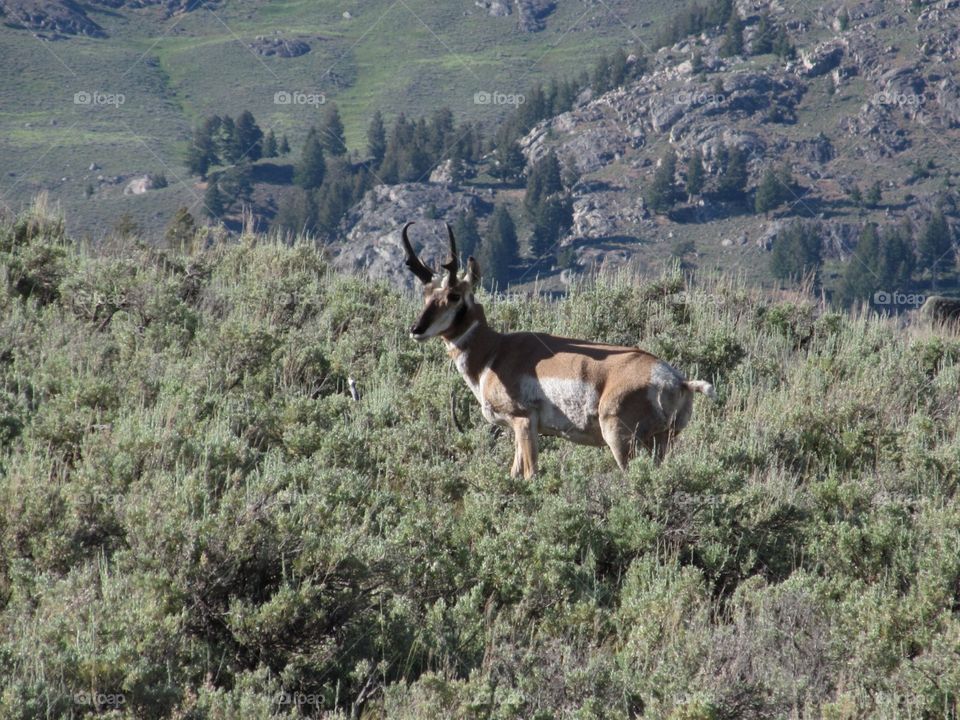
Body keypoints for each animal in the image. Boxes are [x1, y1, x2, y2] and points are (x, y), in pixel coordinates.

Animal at [402, 222, 716, 478]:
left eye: (454, 295)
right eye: (426, 294)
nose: (416, 329)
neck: (495, 352)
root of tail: (677, 380)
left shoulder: (524, 422)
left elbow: (530, 475)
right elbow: (513, 474)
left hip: (621, 440)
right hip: (663, 442)